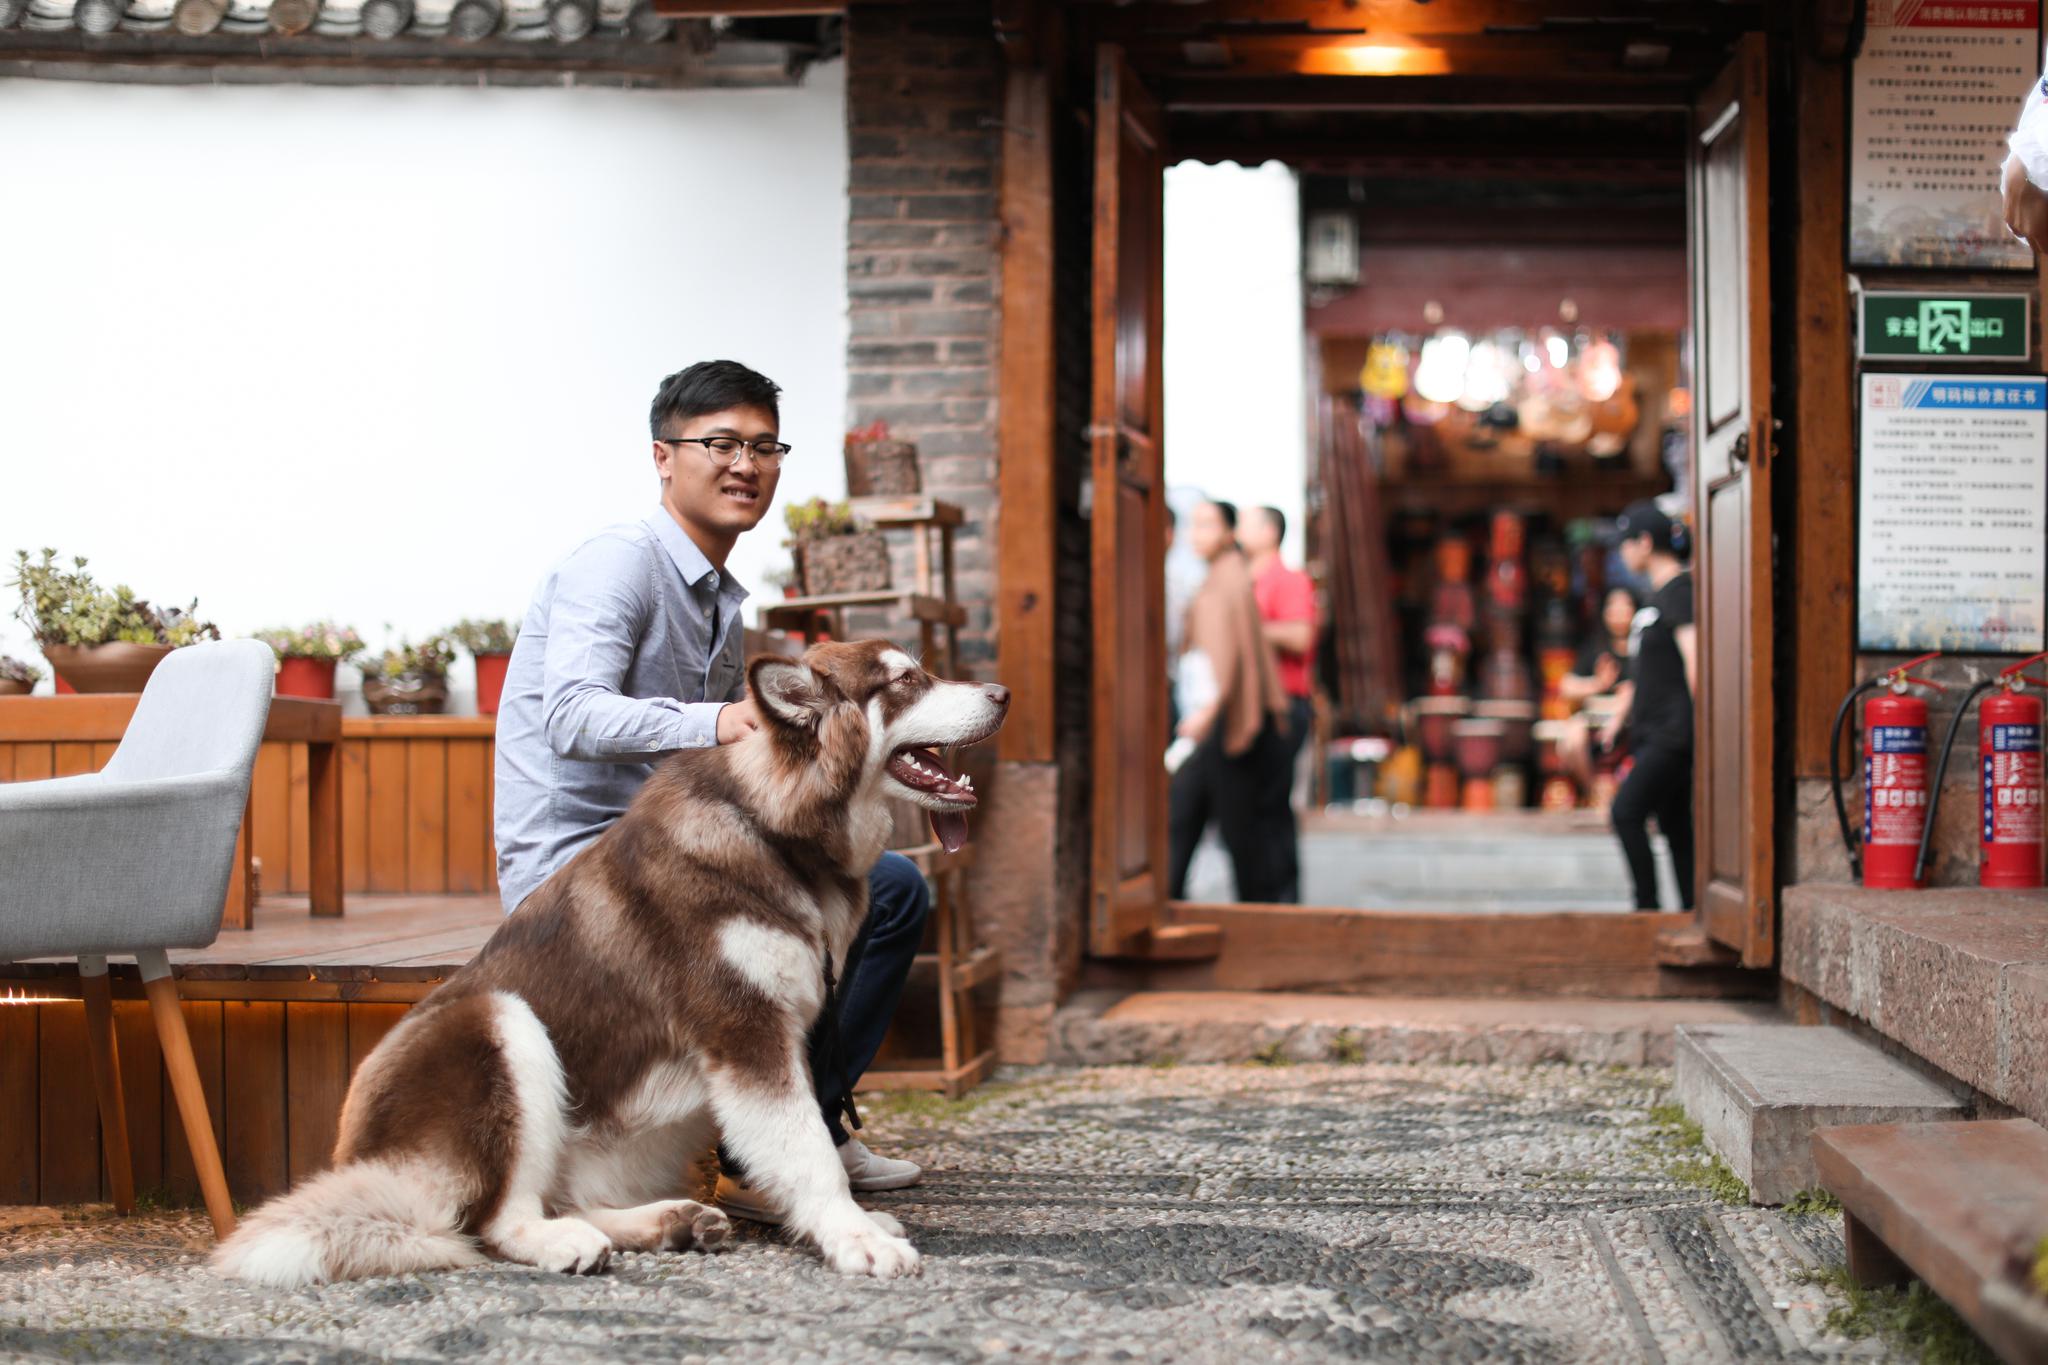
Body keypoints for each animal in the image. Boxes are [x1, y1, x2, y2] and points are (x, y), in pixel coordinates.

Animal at [214, 646, 1007, 1285]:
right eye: (906, 680)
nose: (1002, 691)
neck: (774, 832)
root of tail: (356, 1152)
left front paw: (855, 1223)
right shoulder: (747, 1031)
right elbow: (807, 1145)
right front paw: (852, 1236)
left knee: (568, 1195)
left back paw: (665, 1222)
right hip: (501, 1022)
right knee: (494, 1219)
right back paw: (563, 1242)